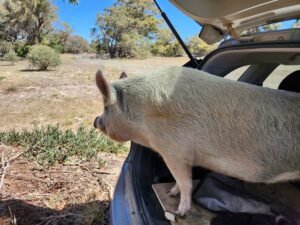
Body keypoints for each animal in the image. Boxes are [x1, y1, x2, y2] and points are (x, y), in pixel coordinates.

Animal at [94, 67, 300, 216]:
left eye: (105, 106)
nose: (95, 121)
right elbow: (180, 180)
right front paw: (170, 193)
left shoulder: (175, 152)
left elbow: (185, 182)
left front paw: (180, 212)